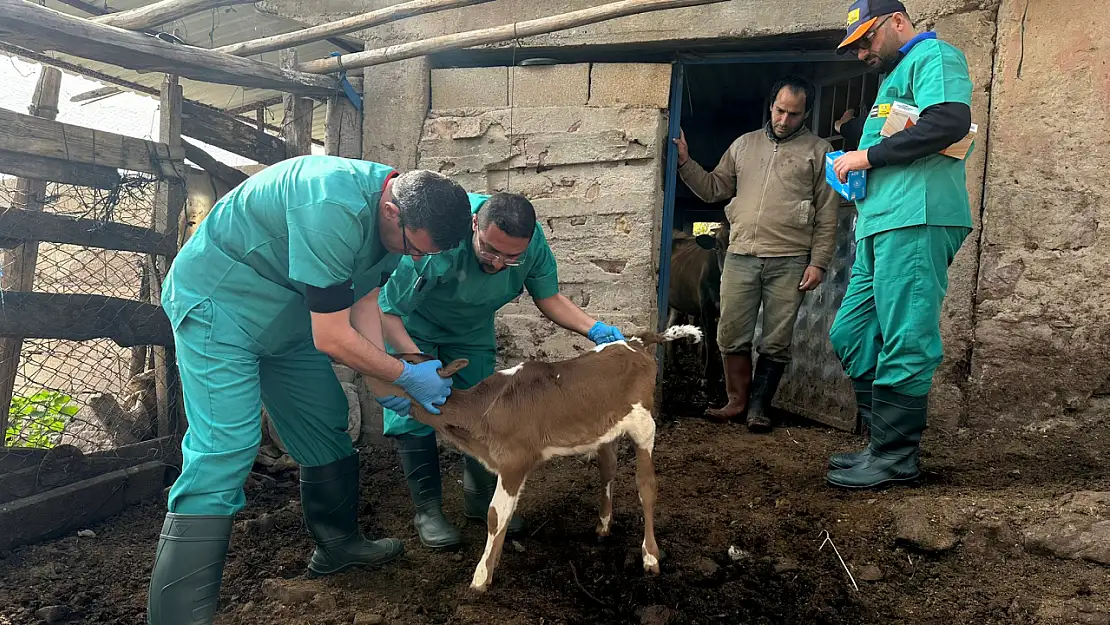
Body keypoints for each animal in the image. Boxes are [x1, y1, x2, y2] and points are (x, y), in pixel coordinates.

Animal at [364, 326, 701, 595]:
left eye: (407, 364)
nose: (376, 358)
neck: (480, 415)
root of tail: (635, 341)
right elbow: (502, 514)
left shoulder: (514, 462)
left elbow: (495, 515)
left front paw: (480, 578)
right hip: (605, 429)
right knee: (608, 470)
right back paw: (603, 527)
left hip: (644, 423)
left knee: (646, 487)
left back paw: (650, 556)